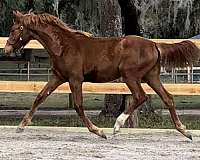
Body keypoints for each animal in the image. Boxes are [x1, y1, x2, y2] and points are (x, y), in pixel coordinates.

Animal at [3, 10, 199, 140]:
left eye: (14, 29)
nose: (6, 50)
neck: (64, 46)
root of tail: (154, 45)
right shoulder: (58, 77)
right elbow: (40, 97)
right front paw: (21, 126)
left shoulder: (75, 79)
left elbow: (78, 106)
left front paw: (99, 131)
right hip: (151, 77)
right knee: (168, 98)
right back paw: (185, 131)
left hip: (131, 76)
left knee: (140, 96)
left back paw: (116, 127)